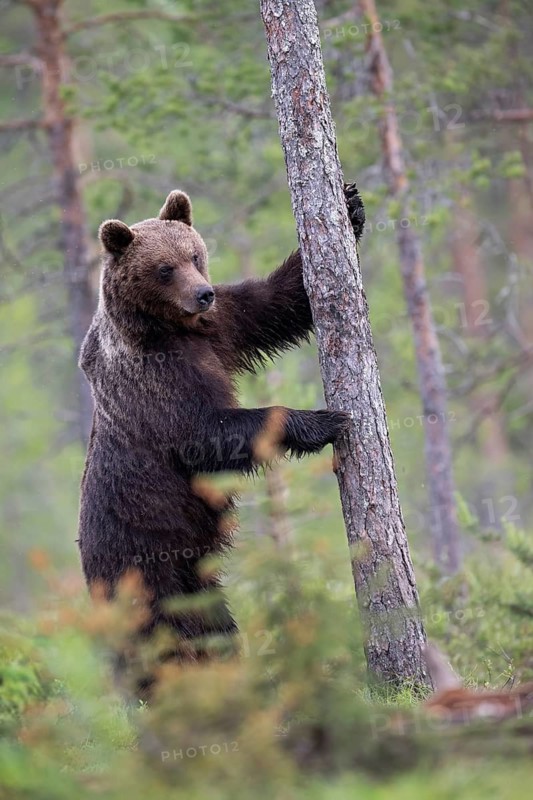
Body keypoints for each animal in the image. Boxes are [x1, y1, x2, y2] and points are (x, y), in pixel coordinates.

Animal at [78, 183, 365, 690]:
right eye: (164, 268)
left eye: (194, 254)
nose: (203, 294)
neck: (169, 329)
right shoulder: (157, 383)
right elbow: (208, 432)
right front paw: (324, 420)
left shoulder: (223, 327)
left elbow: (273, 303)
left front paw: (351, 207)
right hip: (143, 560)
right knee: (160, 637)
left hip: (196, 576)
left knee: (211, 623)